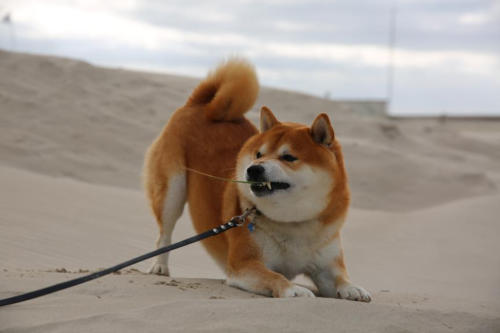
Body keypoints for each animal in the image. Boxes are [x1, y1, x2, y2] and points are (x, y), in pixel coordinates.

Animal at [143, 57, 370, 300]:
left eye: (288, 157)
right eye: (259, 154)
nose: (253, 169)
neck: (293, 224)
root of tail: (201, 105)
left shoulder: (327, 266)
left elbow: (340, 279)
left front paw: (354, 288)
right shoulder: (245, 264)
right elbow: (276, 276)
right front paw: (295, 290)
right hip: (172, 191)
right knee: (164, 234)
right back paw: (159, 267)